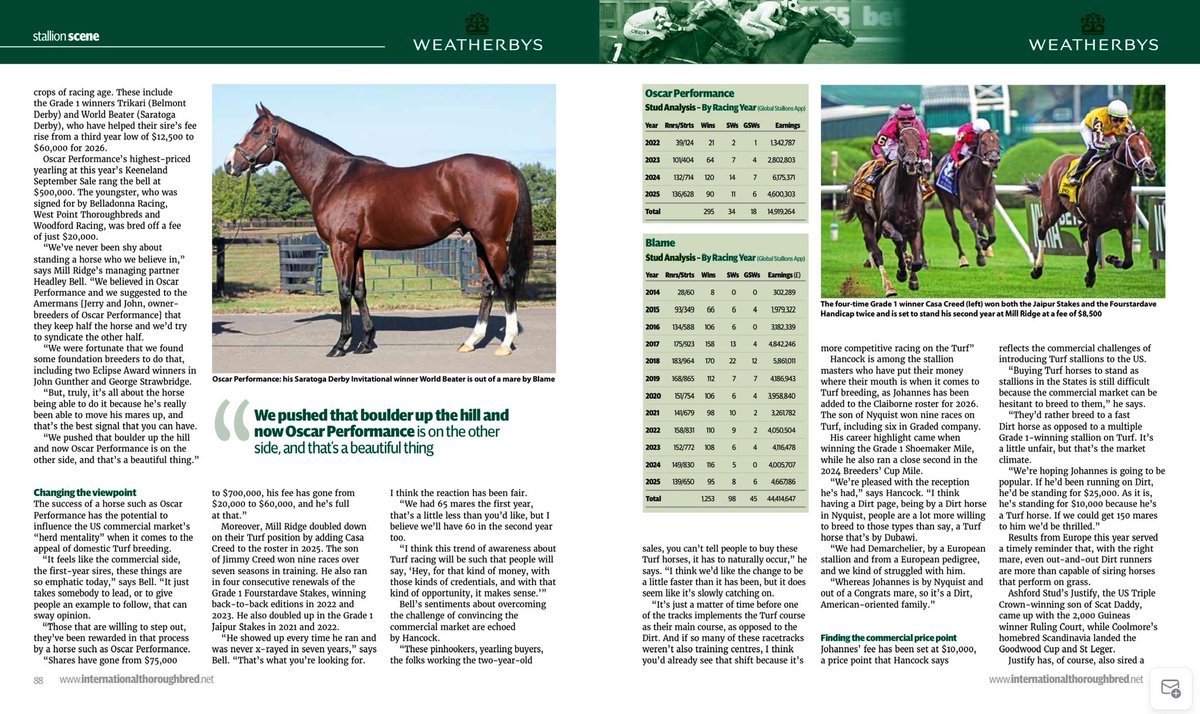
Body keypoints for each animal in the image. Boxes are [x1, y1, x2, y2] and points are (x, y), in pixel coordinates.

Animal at [223, 104, 534, 357]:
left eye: (257, 132)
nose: (230, 164)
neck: (334, 177)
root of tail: (506, 166)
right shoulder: (357, 248)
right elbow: (360, 291)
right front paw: (366, 342)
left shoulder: (341, 245)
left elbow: (344, 291)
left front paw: (341, 344)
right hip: (480, 241)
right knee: (489, 286)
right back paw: (471, 341)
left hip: (493, 241)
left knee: (506, 281)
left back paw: (506, 344)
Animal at [842, 127, 928, 297]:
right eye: (901, 140)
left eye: (919, 142)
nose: (911, 163)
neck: (905, 194)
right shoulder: (886, 224)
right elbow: (899, 242)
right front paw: (901, 273)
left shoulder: (914, 227)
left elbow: (916, 260)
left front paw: (913, 280)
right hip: (865, 218)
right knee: (877, 251)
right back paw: (889, 287)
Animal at [934, 130, 1002, 267]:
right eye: (983, 142)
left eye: (998, 141)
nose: (994, 160)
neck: (980, 182)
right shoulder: (967, 209)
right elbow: (974, 227)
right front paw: (980, 257)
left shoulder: (989, 211)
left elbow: (992, 236)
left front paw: (985, 244)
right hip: (946, 204)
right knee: (955, 232)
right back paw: (963, 258)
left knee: (980, 226)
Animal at [1024, 131, 1156, 288]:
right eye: (1133, 148)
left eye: (1149, 145)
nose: (1150, 169)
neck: (1114, 187)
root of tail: (1057, 161)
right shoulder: (1094, 226)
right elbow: (1093, 256)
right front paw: (1091, 277)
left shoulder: (1126, 226)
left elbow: (1128, 262)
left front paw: (1110, 259)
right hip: (1052, 212)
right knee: (1042, 227)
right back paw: (1037, 269)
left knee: (1081, 230)